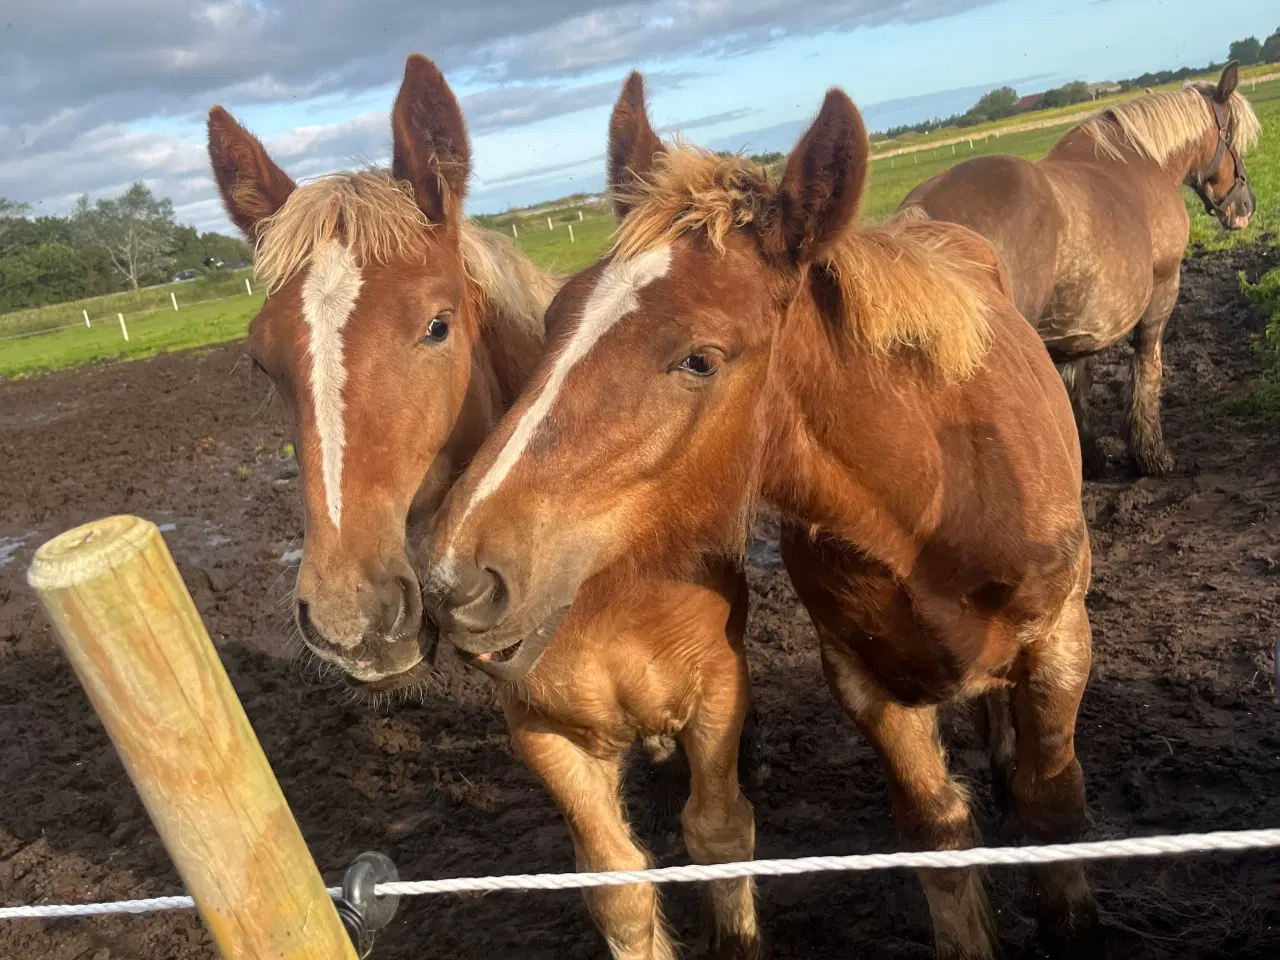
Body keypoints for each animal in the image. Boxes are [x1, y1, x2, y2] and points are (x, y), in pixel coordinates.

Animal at [211, 56, 762, 960]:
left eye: (437, 325)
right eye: (261, 361)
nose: (350, 616)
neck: (606, 581)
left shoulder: (717, 693)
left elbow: (721, 841)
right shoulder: (543, 732)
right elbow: (618, 888)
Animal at [427, 73, 1100, 960]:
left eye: (699, 359)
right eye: (553, 320)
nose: (456, 579)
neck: (939, 498)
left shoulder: (1061, 644)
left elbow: (1051, 806)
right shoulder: (863, 678)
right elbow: (936, 830)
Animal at [901, 63, 1259, 478]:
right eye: (1233, 137)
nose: (1245, 205)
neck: (1143, 164)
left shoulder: (1082, 319)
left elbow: (1077, 384)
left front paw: (1091, 456)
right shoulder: (1163, 288)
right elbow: (1147, 367)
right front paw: (1150, 454)